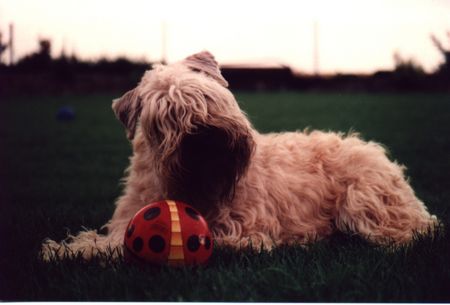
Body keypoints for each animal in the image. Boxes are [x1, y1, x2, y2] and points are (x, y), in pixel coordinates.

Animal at [41, 51, 436, 260]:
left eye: (206, 97)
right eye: (165, 118)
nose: (204, 136)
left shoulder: (244, 231)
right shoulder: (128, 218)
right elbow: (104, 242)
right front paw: (63, 249)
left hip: (365, 202)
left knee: (408, 234)